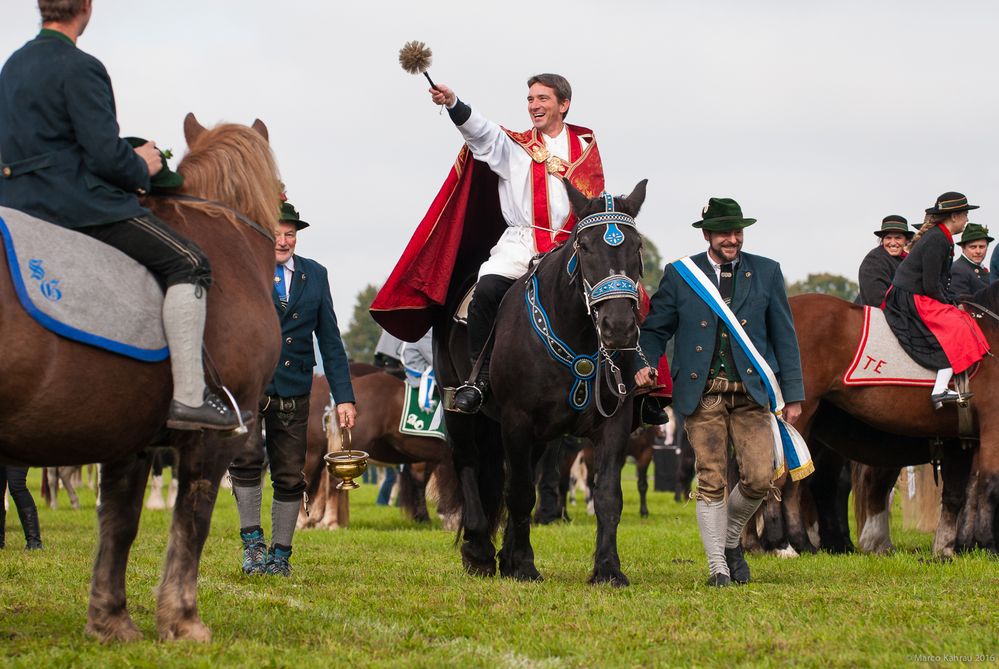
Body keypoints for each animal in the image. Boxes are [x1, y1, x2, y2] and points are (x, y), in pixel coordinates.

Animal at [0, 115, 282, 640]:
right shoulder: (212, 440)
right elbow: (192, 520)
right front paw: (183, 620)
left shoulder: (127, 439)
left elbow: (119, 523)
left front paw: (110, 621)